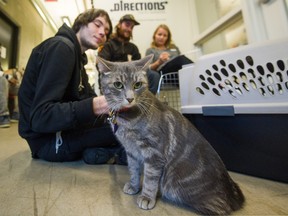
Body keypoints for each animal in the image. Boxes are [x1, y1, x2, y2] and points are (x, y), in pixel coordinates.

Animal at [97, 54, 245, 215]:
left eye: (137, 85)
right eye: (118, 85)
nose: (130, 98)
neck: (127, 117)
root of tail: (233, 192)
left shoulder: (154, 153)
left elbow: (150, 178)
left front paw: (147, 197)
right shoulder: (131, 152)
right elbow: (134, 171)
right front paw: (134, 186)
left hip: (176, 187)